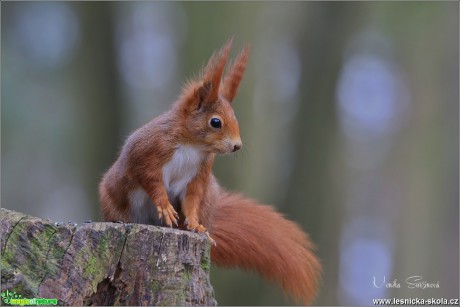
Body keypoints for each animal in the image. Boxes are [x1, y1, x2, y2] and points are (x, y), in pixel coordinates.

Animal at [99, 38, 322, 306]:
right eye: (215, 122)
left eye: (235, 117)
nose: (237, 146)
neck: (193, 145)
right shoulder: (147, 154)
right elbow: (150, 180)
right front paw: (164, 205)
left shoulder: (200, 175)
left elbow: (192, 200)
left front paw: (195, 225)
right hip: (113, 200)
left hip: (210, 196)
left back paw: (192, 228)